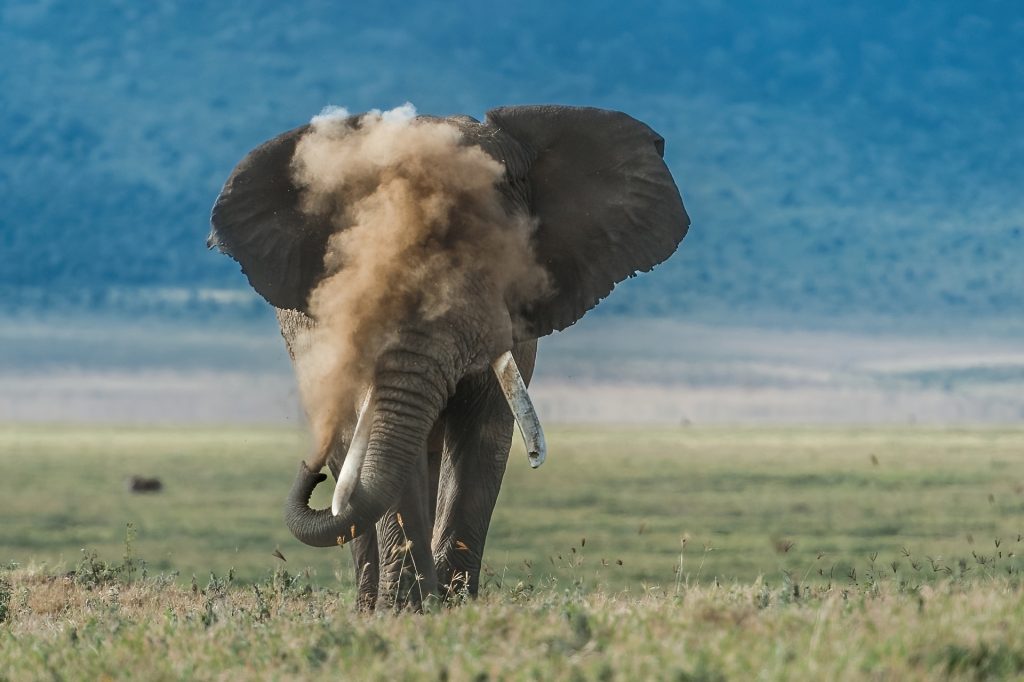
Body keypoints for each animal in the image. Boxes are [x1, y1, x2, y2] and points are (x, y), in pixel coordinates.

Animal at [209, 104, 689, 609]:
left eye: (499, 248)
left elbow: (485, 433)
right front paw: (407, 609)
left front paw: (453, 604)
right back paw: (369, 603)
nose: (309, 473)